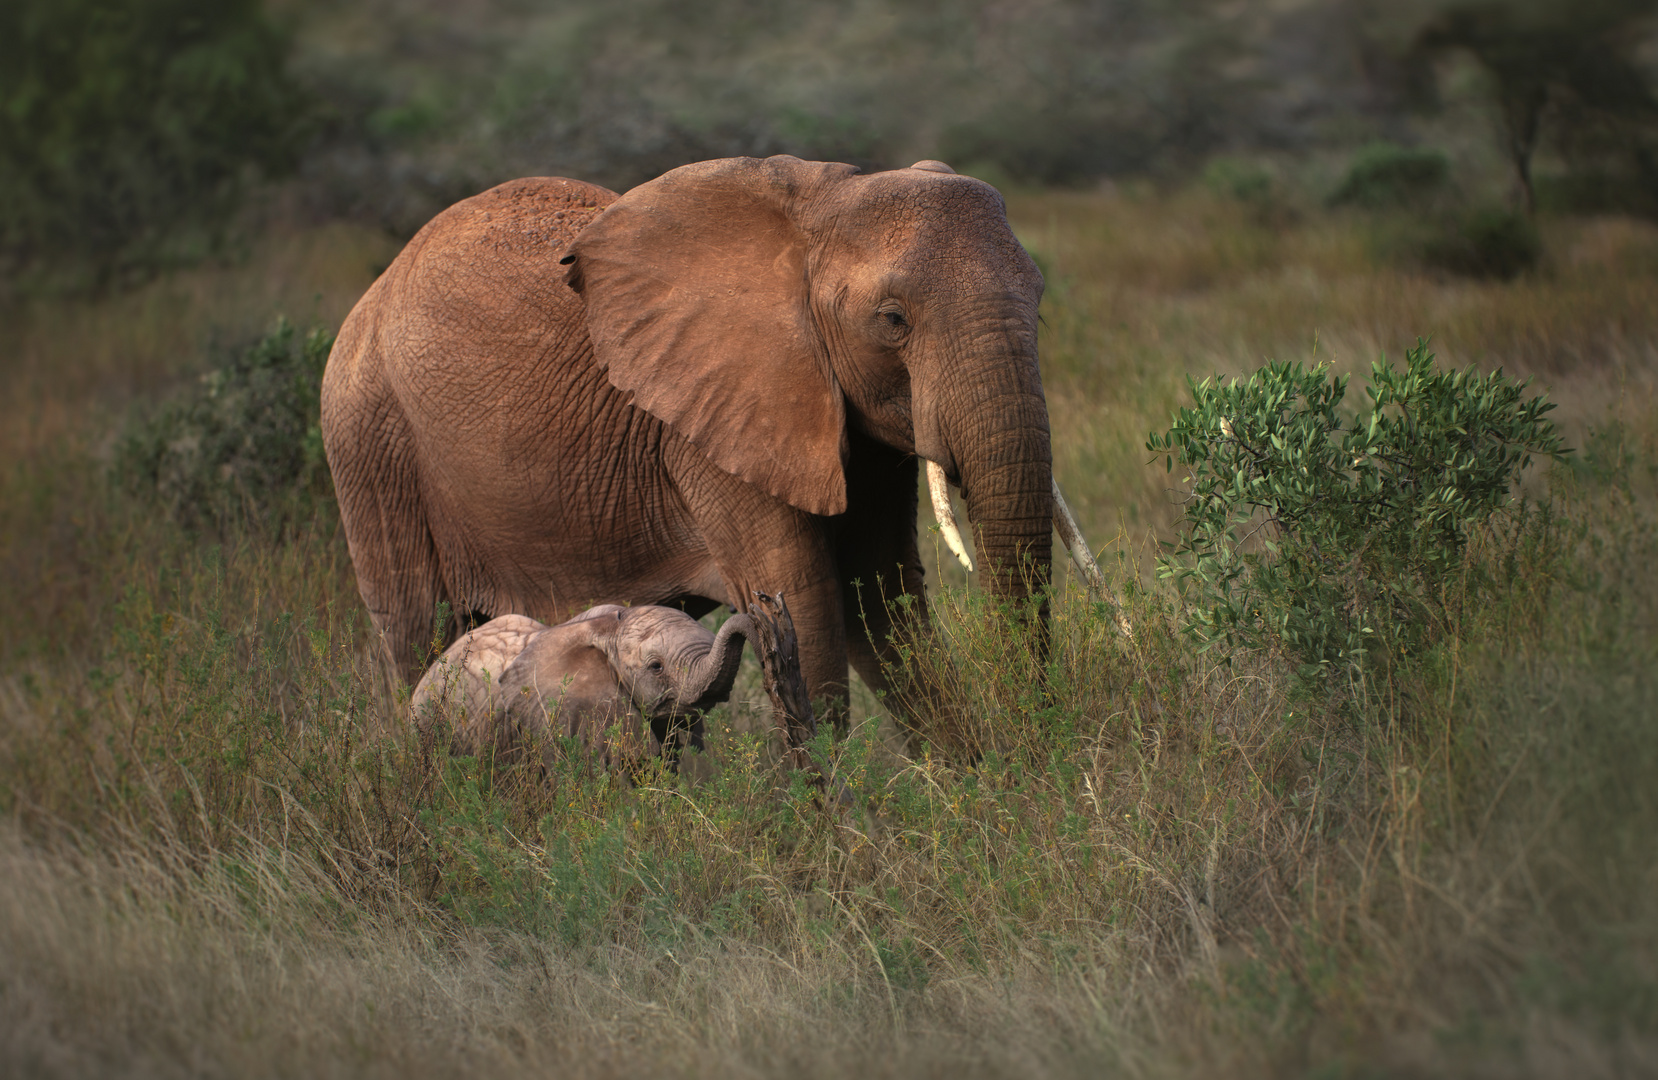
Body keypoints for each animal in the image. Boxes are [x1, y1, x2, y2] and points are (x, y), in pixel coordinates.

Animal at [323, 151, 1100, 710]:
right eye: (893, 320)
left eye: (1038, 298)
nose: (1039, 730)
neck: (817, 209)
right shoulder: (714, 434)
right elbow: (810, 617)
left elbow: (882, 603)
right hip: (370, 444)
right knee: (418, 638)